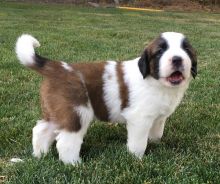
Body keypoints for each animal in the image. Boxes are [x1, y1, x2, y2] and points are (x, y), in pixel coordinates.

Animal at [15, 32, 198, 165]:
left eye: (186, 50)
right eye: (160, 51)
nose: (177, 59)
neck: (155, 81)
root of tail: (58, 67)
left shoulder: (159, 117)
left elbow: (157, 132)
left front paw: (155, 144)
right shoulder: (139, 118)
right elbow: (138, 142)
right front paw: (136, 158)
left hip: (58, 112)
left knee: (41, 130)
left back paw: (40, 155)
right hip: (76, 112)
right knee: (66, 140)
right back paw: (73, 163)